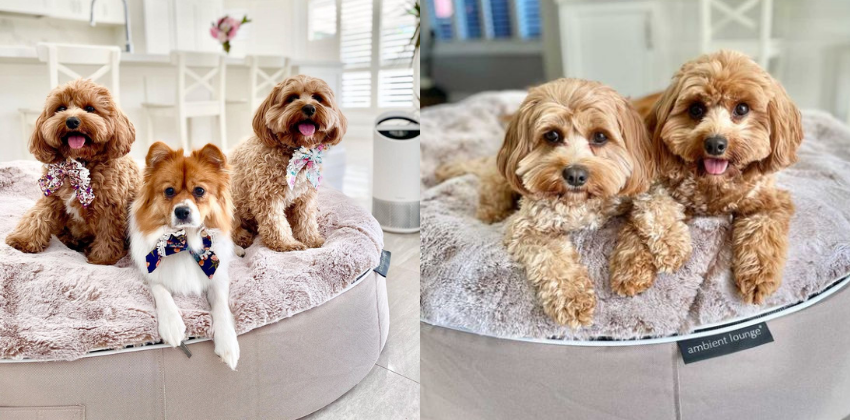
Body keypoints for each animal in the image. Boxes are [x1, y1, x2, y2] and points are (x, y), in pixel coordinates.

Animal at [4, 78, 137, 266]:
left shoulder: (110, 208)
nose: (72, 121)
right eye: (60, 108)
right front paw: (22, 240)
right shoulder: (51, 197)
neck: (77, 165)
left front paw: (102, 258)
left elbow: (108, 233)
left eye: (90, 108)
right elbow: (36, 215)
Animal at [229, 75, 344, 251]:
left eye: (318, 98)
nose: (309, 108)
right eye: (291, 98)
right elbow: (276, 222)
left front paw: (311, 239)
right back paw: (242, 236)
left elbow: (306, 220)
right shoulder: (267, 196)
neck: (295, 152)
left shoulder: (305, 196)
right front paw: (286, 243)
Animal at [608, 50, 800, 304]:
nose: (715, 143)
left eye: (742, 108)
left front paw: (758, 274)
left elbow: (762, 234)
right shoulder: (658, 189)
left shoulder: (769, 201)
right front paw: (630, 268)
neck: (713, 184)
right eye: (696, 109)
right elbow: (643, 223)